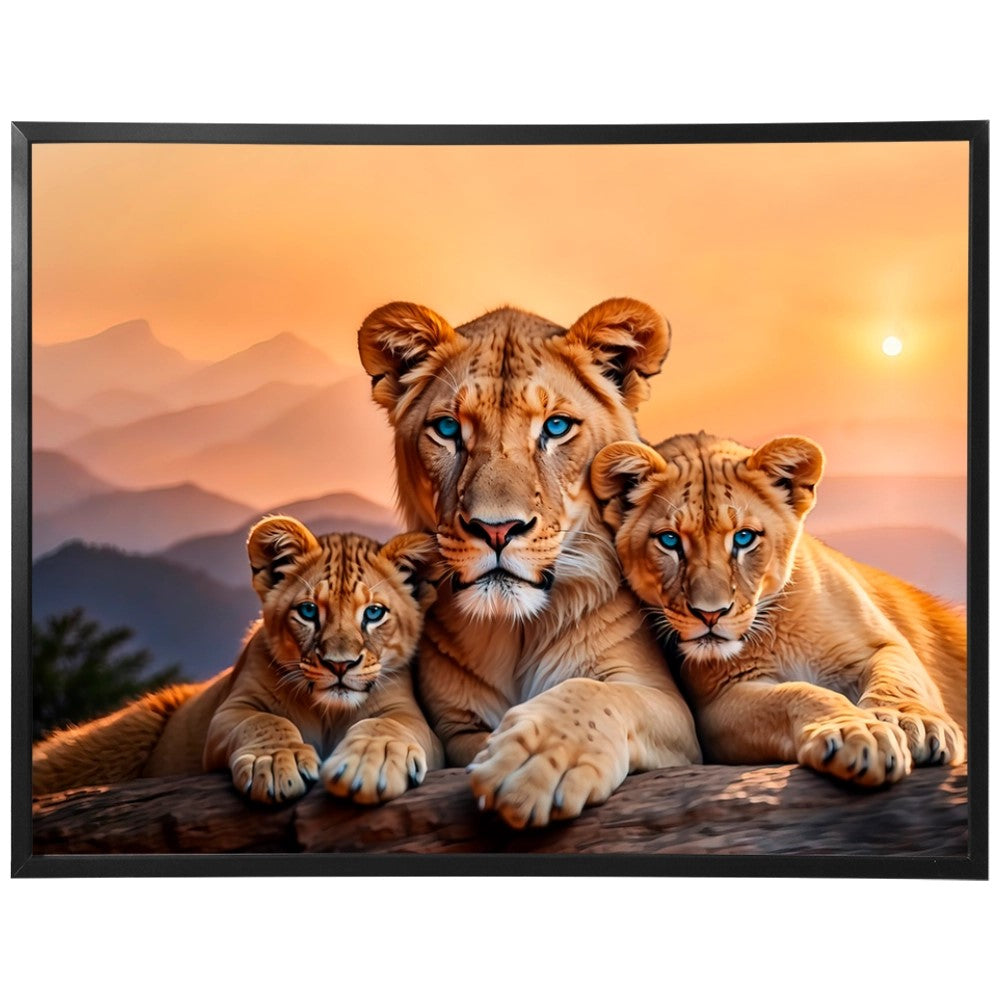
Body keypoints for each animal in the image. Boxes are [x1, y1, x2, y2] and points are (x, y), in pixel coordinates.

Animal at [32, 518, 444, 804]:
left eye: (373, 613)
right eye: (309, 611)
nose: (339, 665)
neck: (328, 712)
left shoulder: (412, 717)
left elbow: (386, 726)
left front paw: (369, 764)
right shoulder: (228, 712)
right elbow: (265, 721)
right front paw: (277, 763)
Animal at [357, 298, 701, 828]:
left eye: (556, 427)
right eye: (448, 428)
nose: (496, 529)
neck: (516, 630)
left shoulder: (673, 711)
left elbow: (600, 693)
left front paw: (537, 759)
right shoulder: (455, 723)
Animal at [591, 431, 967, 786]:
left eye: (744, 538)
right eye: (670, 540)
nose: (710, 614)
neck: (776, 629)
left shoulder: (883, 644)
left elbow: (898, 678)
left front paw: (913, 722)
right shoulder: (716, 705)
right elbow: (797, 694)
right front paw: (855, 732)